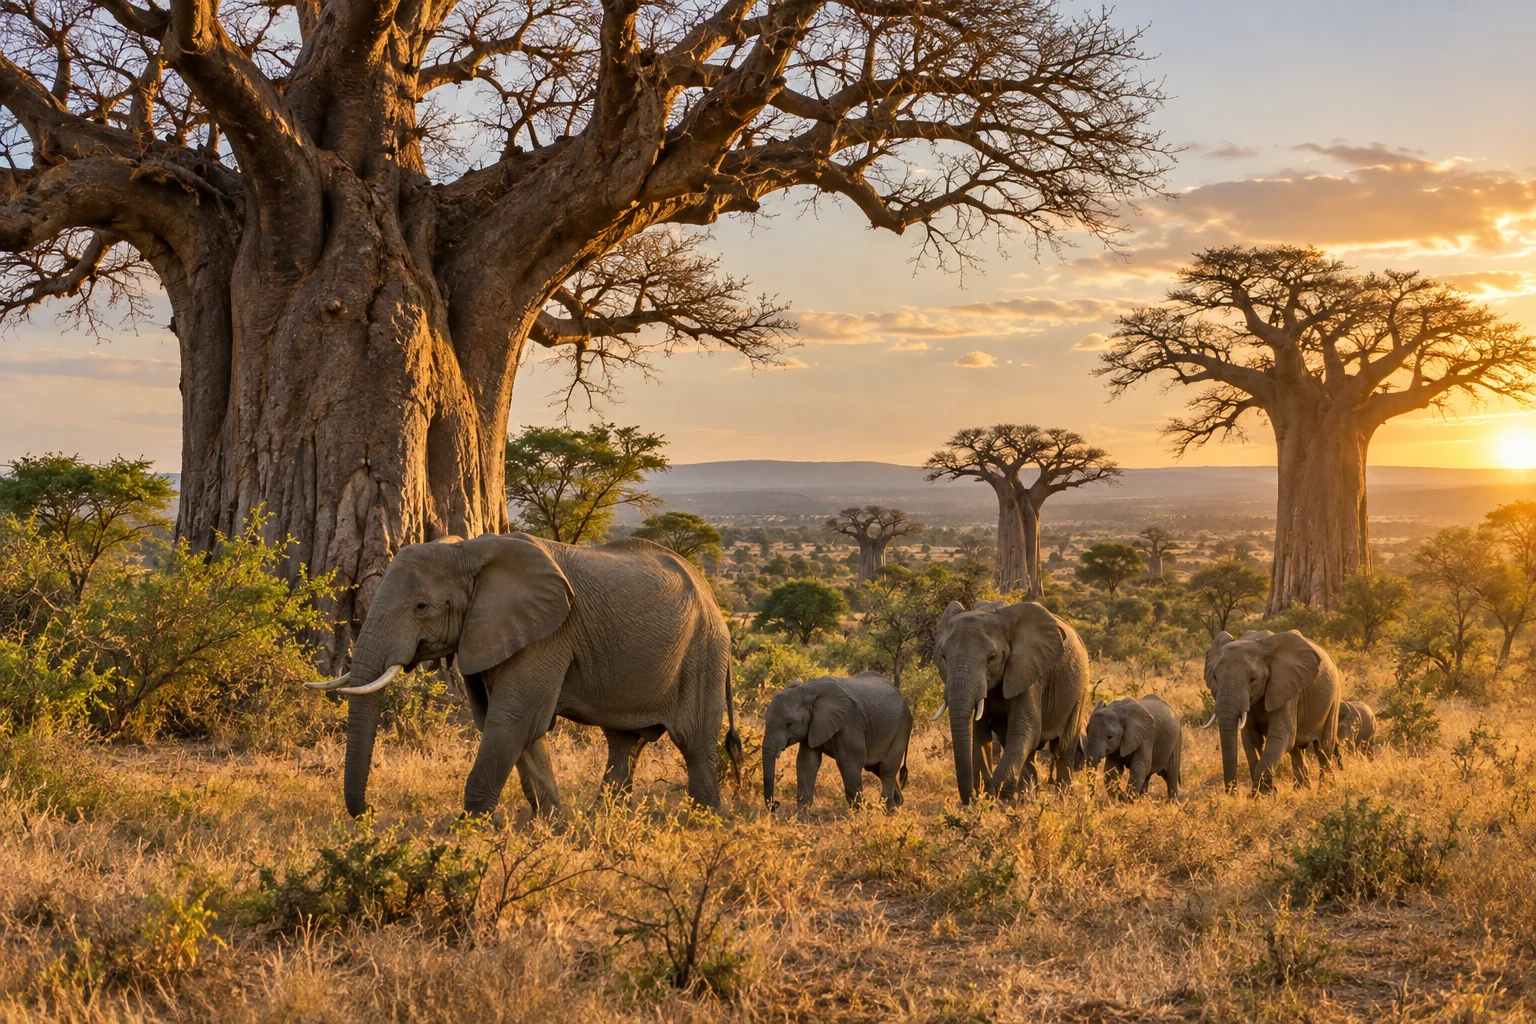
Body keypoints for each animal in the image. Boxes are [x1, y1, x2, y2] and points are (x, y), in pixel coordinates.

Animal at [306, 533, 741, 817]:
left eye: (421, 607)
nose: (369, 812)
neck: (467, 551)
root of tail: (712, 596)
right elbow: (514, 728)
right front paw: (554, 826)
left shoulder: (548, 635)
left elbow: (513, 722)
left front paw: (472, 831)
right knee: (624, 744)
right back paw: (605, 820)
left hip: (703, 653)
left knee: (695, 743)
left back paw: (702, 821)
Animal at [761, 672, 913, 811]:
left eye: (789, 724)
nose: (776, 804)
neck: (807, 690)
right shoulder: (812, 727)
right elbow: (807, 762)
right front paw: (802, 817)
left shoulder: (850, 723)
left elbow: (849, 762)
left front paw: (864, 812)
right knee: (877, 768)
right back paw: (898, 804)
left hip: (902, 726)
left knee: (887, 768)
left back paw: (887, 811)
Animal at [934, 599, 1088, 804]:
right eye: (943, 656)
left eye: (992, 658)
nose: (971, 800)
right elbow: (980, 733)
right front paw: (990, 798)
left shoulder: (1028, 672)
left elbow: (1024, 730)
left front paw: (998, 800)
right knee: (1027, 753)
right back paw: (1027, 799)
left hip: (1080, 690)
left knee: (1062, 747)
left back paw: (1062, 799)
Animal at [1205, 629, 1341, 794]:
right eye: (1214, 677)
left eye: (1253, 679)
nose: (1233, 793)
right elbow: (1251, 739)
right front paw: (1262, 793)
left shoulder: (1285, 687)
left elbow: (1280, 735)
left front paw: (1262, 794)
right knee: (1296, 749)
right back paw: (1301, 790)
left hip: (1334, 698)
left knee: (1323, 748)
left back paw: (1325, 791)